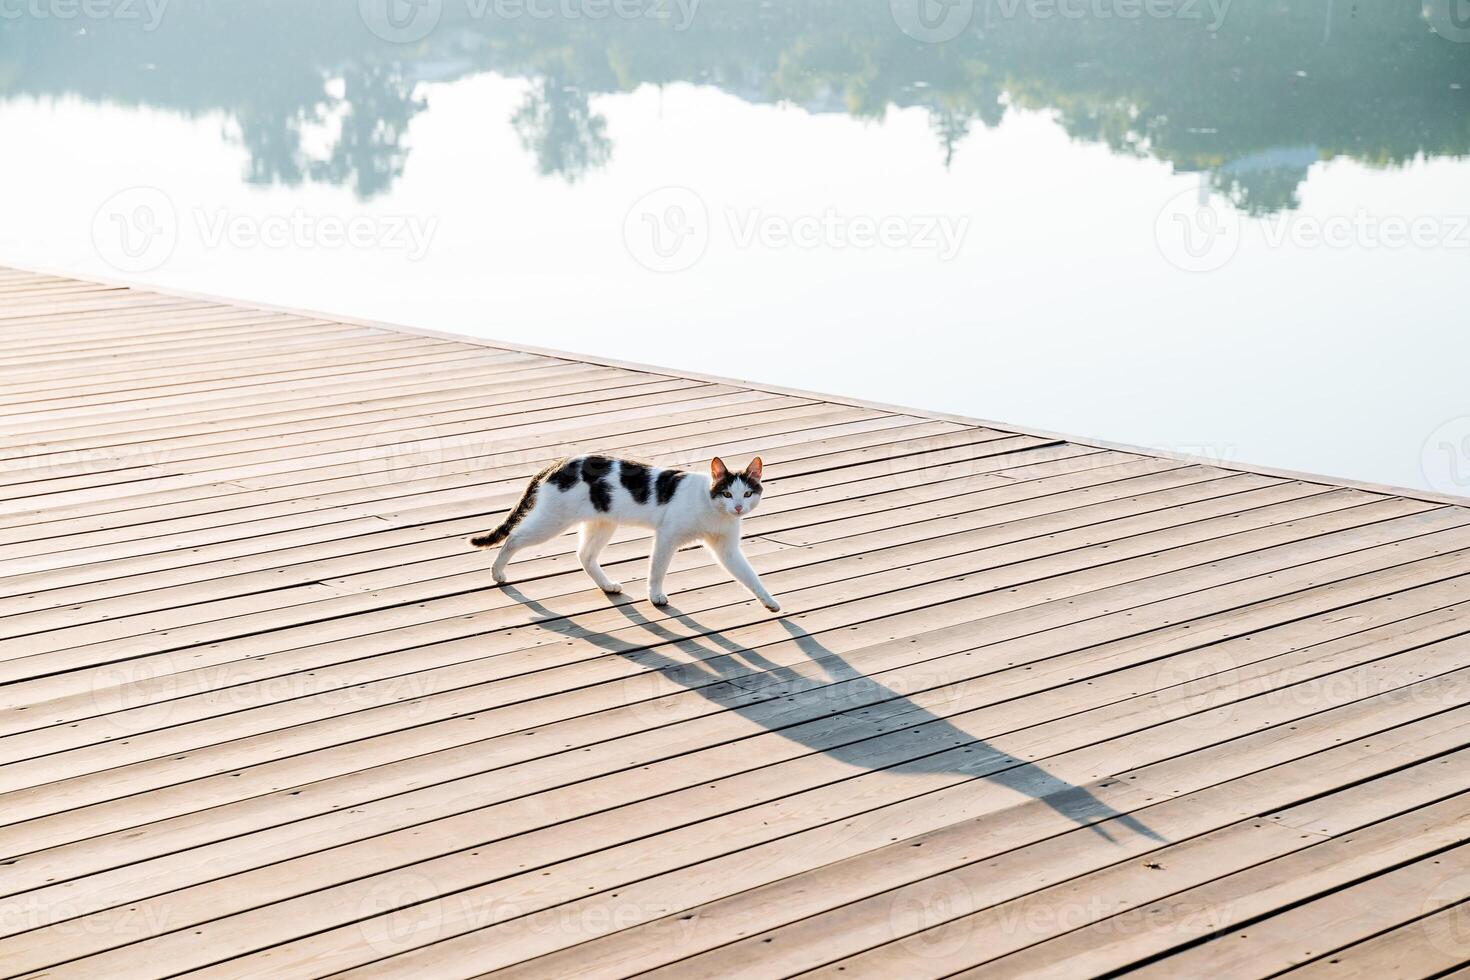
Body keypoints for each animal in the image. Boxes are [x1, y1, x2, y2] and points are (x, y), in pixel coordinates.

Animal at [470, 455, 782, 614]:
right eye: (727, 493)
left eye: (747, 493)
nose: (738, 507)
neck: (713, 508)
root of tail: (559, 463)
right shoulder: (667, 536)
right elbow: (657, 570)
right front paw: (655, 596)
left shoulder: (726, 549)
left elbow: (750, 576)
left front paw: (768, 601)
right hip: (551, 522)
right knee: (513, 539)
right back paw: (497, 573)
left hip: (601, 524)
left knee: (584, 555)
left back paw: (608, 586)